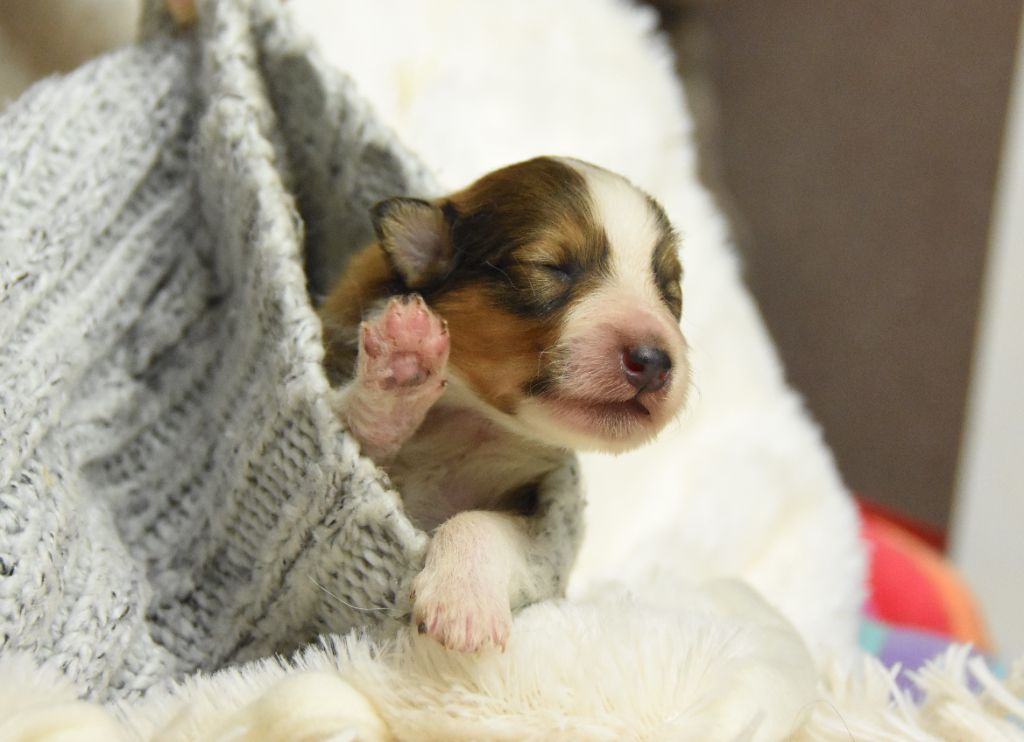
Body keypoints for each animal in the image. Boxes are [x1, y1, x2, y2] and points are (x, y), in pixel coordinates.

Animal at [319, 156, 688, 652]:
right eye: (551, 265)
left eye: (670, 290)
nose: (653, 361)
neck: (472, 421)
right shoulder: (355, 468)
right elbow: (358, 430)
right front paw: (403, 359)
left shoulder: (539, 521)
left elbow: (482, 521)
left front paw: (462, 603)